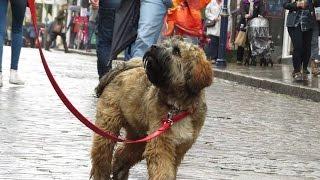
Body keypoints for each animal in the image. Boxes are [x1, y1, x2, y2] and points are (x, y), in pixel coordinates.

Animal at [90, 38, 212, 180]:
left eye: (177, 51)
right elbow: (163, 171)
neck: (177, 107)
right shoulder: (161, 144)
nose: (154, 47)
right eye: (165, 44)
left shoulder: (180, 148)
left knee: (121, 155)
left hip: (139, 136)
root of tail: (124, 70)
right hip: (108, 127)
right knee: (102, 156)